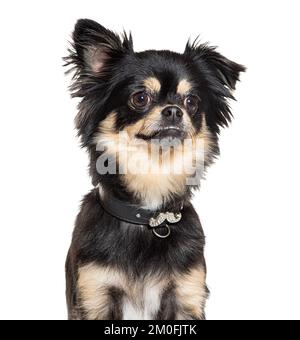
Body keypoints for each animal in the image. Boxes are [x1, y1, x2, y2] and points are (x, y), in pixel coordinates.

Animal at [63, 18, 244, 320]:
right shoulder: (95, 295)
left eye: (191, 101)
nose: (173, 110)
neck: (148, 217)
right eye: (140, 98)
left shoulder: (185, 296)